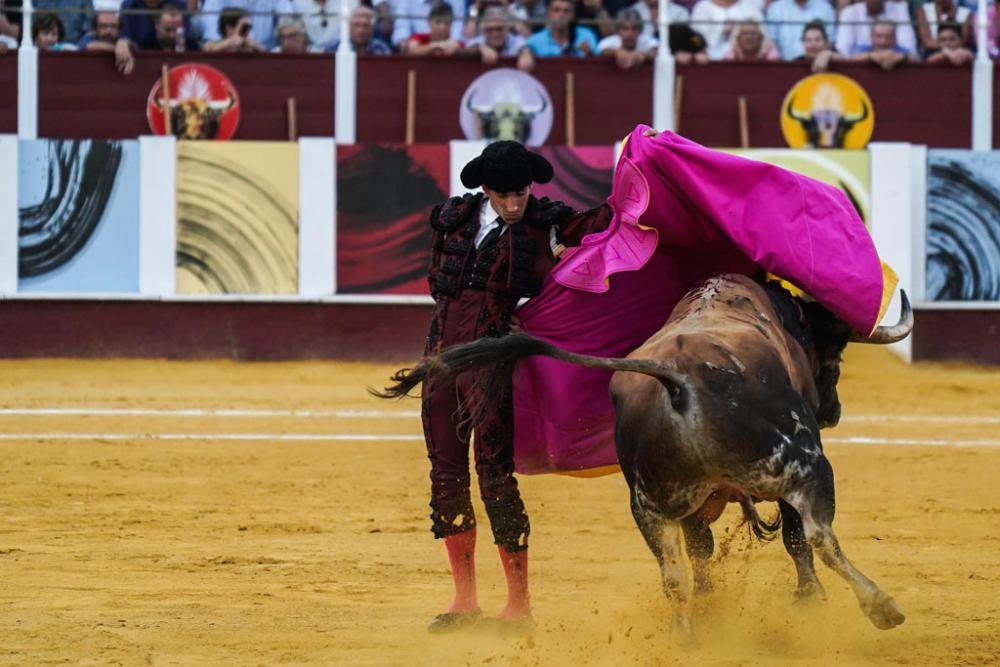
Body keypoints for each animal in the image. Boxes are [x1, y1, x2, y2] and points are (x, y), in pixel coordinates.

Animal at [380, 276, 916, 636]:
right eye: (836, 349)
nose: (832, 410)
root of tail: (677, 376)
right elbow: (795, 538)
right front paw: (810, 600)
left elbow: (700, 552)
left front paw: (712, 605)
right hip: (805, 465)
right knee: (820, 535)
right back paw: (881, 606)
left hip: (649, 505)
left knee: (674, 574)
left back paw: (688, 635)